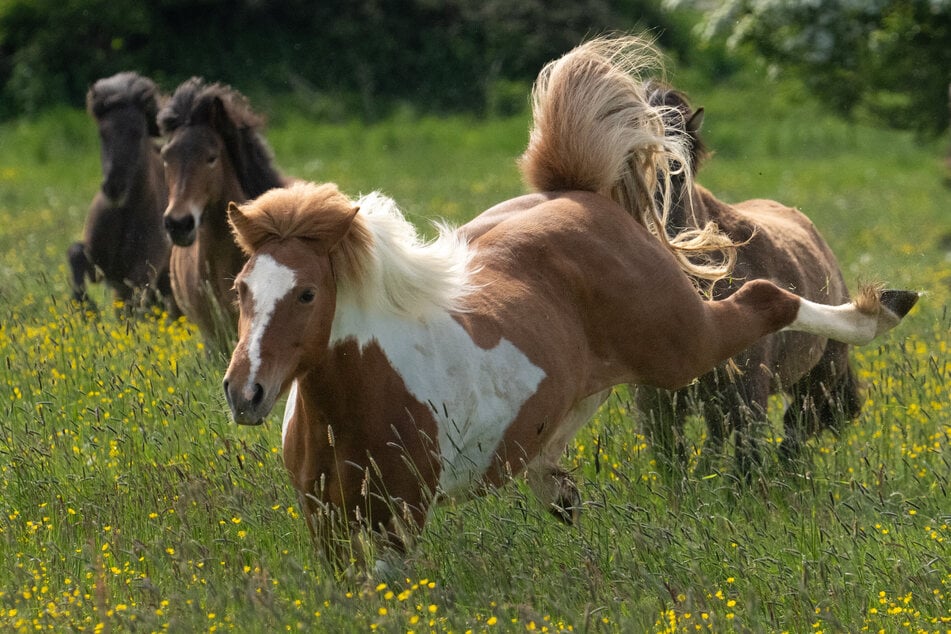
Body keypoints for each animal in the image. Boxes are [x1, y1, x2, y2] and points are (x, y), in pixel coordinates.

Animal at [68, 72, 176, 315]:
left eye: (137, 132)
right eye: (102, 133)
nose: (113, 186)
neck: (125, 214)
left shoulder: (141, 273)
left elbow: (133, 303)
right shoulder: (102, 268)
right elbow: (75, 253)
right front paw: (85, 308)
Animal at [634, 82, 866, 474]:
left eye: (676, 170)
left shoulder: (749, 394)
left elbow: (747, 463)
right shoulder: (657, 405)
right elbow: (674, 470)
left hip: (815, 382)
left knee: (794, 434)